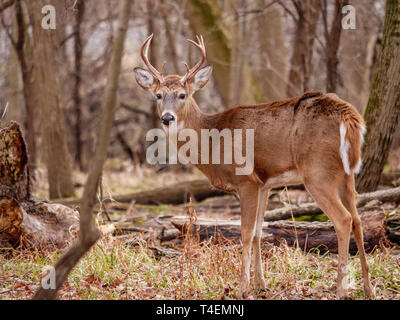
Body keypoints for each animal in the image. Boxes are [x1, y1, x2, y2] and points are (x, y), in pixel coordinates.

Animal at [135, 35, 376, 300]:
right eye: (158, 95)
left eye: (182, 95)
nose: (167, 118)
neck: (212, 141)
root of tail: (351, 118)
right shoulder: (265, 184)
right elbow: (261, 232)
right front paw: (261, 285)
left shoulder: (246, 180)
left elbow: (246, 233)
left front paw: (243, 288)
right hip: (347, 173)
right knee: (358, 220)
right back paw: (367, 288)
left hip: (318, 173)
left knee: (343, 219)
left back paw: (341, 289)